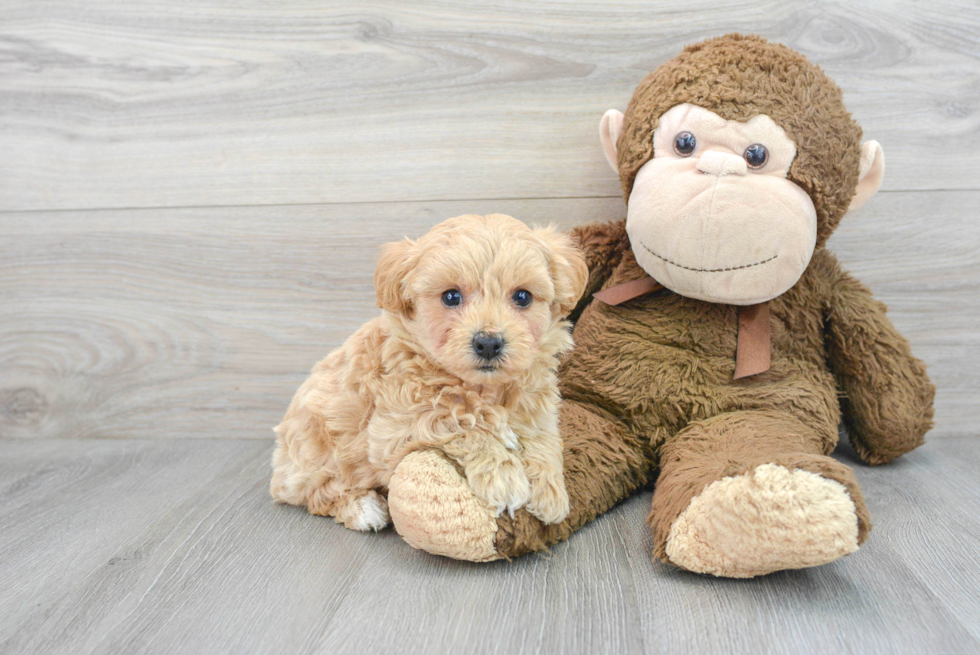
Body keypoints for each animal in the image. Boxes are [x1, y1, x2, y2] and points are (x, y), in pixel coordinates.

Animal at [270, 215, 588, 532]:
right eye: (451, 297)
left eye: (522, 297)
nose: (488, 343)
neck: (482, 388)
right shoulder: (392, 430)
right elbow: (460, 423)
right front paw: (503, 477)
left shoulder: (536, 408)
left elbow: (543, 438)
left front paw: (551, 492)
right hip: (314, 455)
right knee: (319, 492)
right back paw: (363, 508)